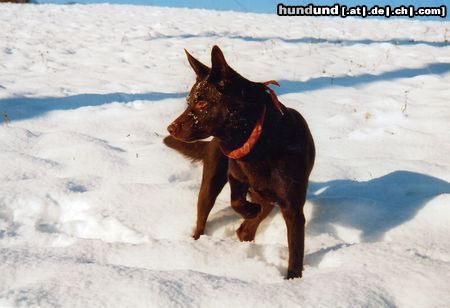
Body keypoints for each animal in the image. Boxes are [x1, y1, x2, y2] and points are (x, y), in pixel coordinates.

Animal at [163, 46, 314, 280]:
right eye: (188, 101)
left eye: (202, 102)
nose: (170, 128)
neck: (258, 142)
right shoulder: (235, 174)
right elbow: (236, 200)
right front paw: (249, 211)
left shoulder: (292, 207)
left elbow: (296, 251)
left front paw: (293, 280)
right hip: (211, 181)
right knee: (203, 217)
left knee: (257, 215)